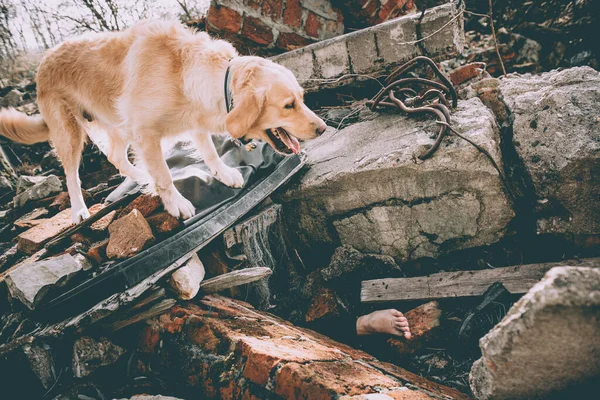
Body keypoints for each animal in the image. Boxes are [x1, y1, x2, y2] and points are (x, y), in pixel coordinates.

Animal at [0, 20, 326, 223]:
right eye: (288, 105)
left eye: (302, 98)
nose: (323, 128)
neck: (188, 73)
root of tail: (43, 60)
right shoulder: (145, 133)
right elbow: (165, 176)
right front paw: (175, 204)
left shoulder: (193, 121)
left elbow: (209, 153)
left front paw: (224, 174)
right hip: (70, 133)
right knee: (72, 175)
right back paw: (80, 210)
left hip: (118, 124)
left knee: (116, 157)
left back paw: (141, 178)